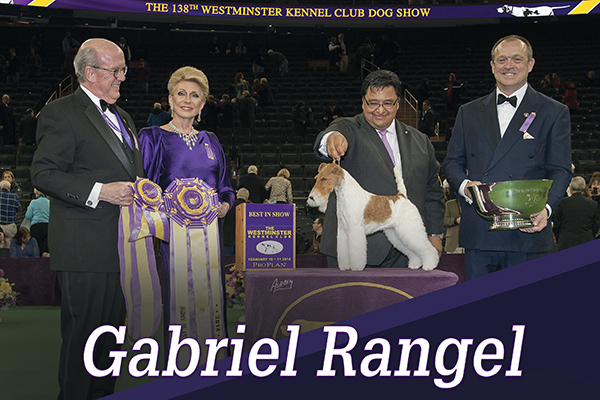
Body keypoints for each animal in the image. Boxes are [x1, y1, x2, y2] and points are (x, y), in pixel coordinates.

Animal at [307, 163, 439, 271]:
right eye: (317, 178)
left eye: (324, 178)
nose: (311, 198)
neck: (345, 195)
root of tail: (402, 196)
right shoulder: (343, 230)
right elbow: (343, 251)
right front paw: (344, 267)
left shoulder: (355, 230)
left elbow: (356, 252)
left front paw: (356, 267)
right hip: (396, 233)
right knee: (412, 251)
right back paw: (415, 264)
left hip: (410, 229)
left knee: (427, 248)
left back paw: (429, 265)